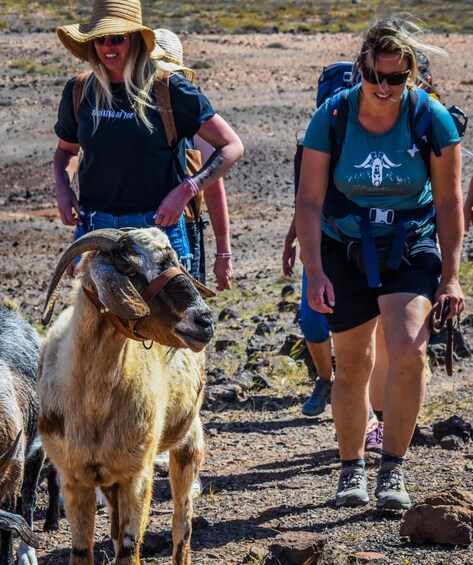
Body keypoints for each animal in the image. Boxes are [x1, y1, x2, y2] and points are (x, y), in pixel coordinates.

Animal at [37, 227, 214, 560]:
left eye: (176, 262)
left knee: (182, 524)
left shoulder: (137, 474)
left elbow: (130, 549)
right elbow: (83, 550)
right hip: (108, 477)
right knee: (117, 528)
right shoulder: (74, 478)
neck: (94, 403)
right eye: (130, 270)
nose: (205, 321)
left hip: (189, 440)